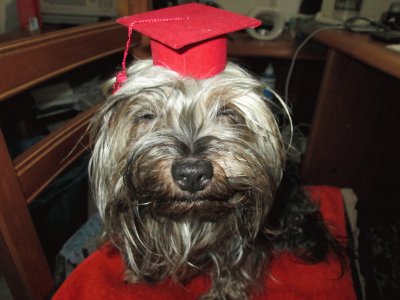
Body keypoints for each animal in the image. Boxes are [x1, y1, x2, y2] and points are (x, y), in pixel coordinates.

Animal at [89, 59, 346, 298]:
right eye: (147, 115)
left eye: (227, 112)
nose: (192, 173)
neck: (191, 218)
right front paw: (143, 271)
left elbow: (234, 264)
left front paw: (226, 291)